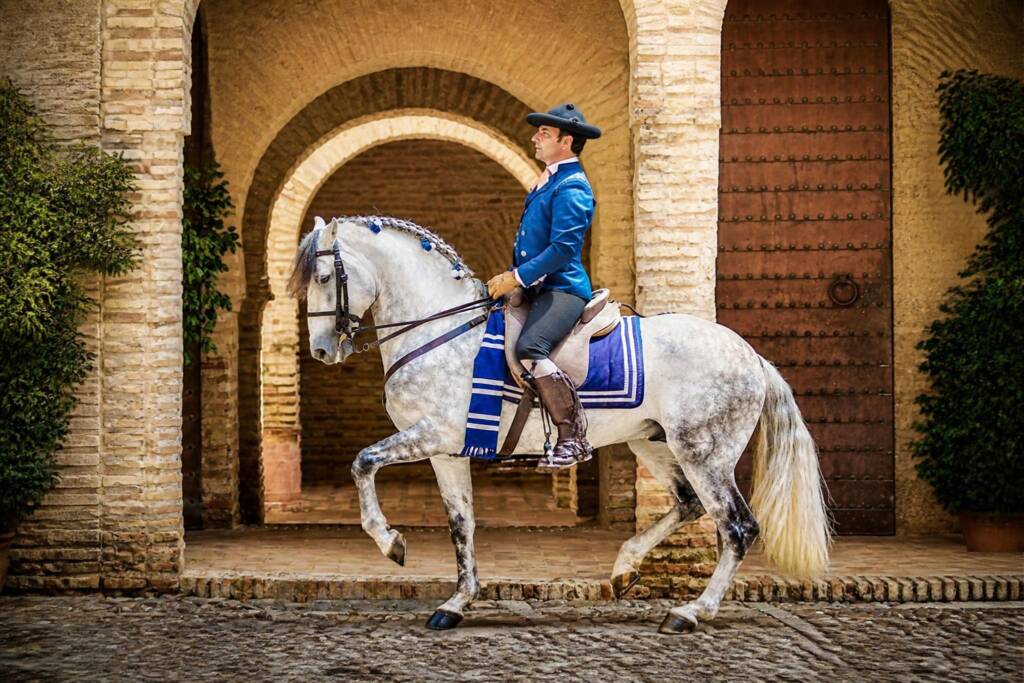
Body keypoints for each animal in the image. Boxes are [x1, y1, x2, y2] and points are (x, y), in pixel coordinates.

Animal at [287, 215, 831, 634]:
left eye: (322, 277)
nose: (322, 350)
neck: (441, 329)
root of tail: (750, 355)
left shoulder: (431, 435)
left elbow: (363, 462)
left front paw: (391, 542)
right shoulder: (446, 452)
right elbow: (461, 524)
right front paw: (456, 603)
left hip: (705, 452)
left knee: (736, 527)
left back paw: (691, 611)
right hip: (655, 444)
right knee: (689, 504)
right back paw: (625, 566)